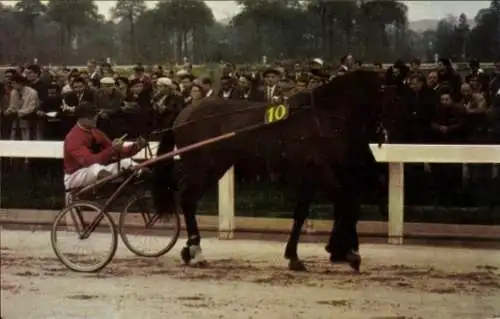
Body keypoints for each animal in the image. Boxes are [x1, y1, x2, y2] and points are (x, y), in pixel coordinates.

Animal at [152, 71, 390, 274]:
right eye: (387, 92)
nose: (382, 135)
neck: (320, 119)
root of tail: (184, 113)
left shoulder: (311, 174)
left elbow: (306, 212)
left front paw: (301, 255)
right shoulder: (319, 170)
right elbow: (345, 202)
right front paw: (345, 252)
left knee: (188, 200)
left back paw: (189, 250)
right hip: (205, 167)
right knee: (187, 199)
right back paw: (196, 251)